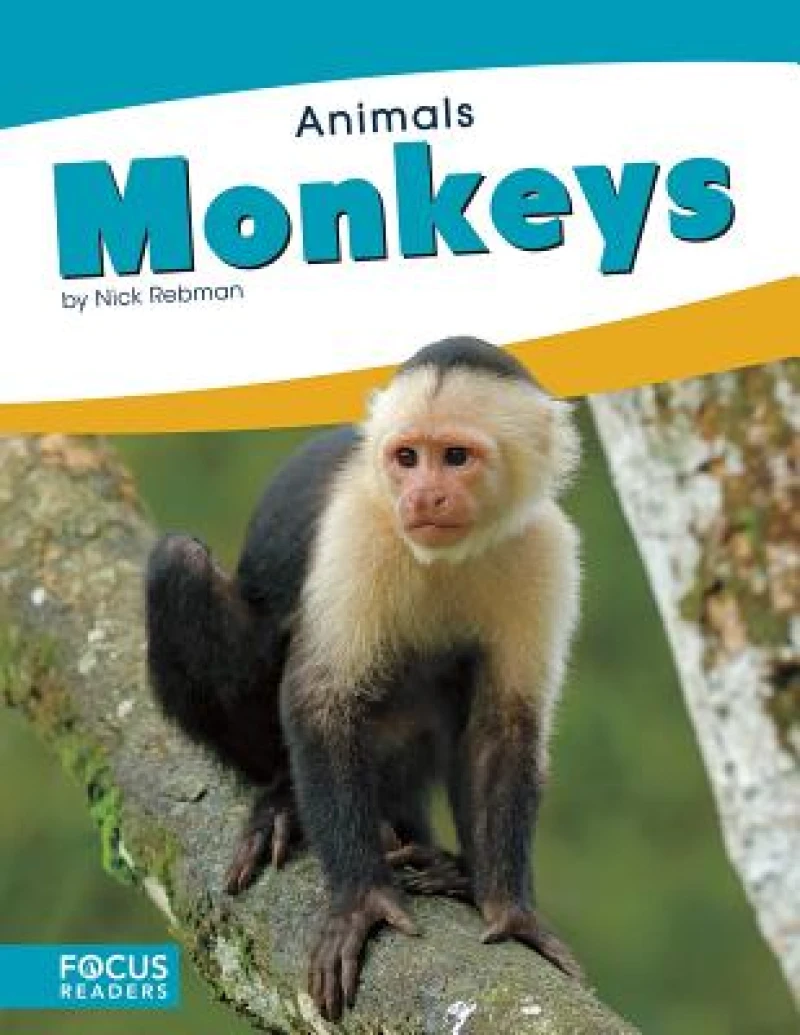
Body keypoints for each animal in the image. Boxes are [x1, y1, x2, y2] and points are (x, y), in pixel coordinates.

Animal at [146, 336, 582, 1021]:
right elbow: (321, 699)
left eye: (455, 457)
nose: (423, 496)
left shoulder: (544, 548)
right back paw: (283, 800)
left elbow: (504, 727)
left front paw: (510, 910)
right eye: (407, 458)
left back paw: (447, 864)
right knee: (179, 564)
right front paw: (360, 901)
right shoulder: (358, 529)